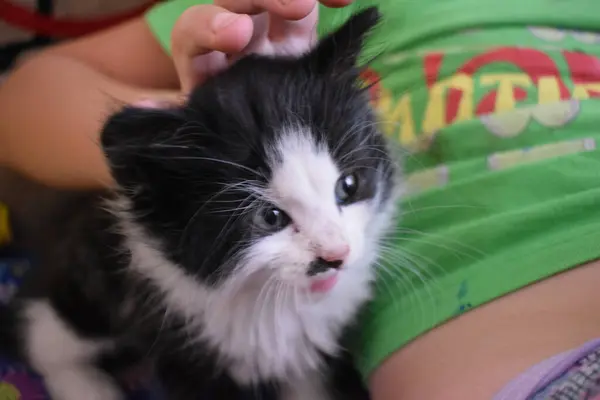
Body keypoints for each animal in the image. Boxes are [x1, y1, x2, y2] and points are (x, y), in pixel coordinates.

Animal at [1, 6, 404, 400]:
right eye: (270, 217)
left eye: (348, 186)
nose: (336, 255)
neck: (276, 303)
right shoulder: (181, 348)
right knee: (38, 327)